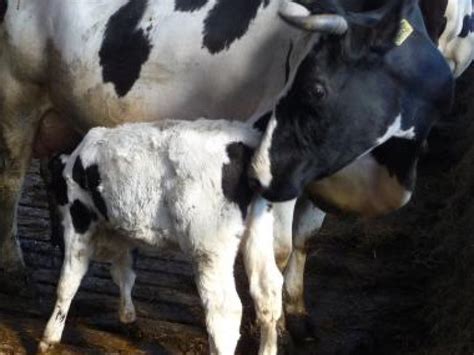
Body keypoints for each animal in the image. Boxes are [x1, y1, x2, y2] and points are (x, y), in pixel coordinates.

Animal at [39, 120, 286, 355]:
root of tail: (245, 141)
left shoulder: (78, 219)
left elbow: (68, 281)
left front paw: (49, 337)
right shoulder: (125, 235)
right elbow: (124, 273)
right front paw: (127, 314)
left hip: (209, 247)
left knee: (224, 310)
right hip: (259, 232)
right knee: (268, 291)